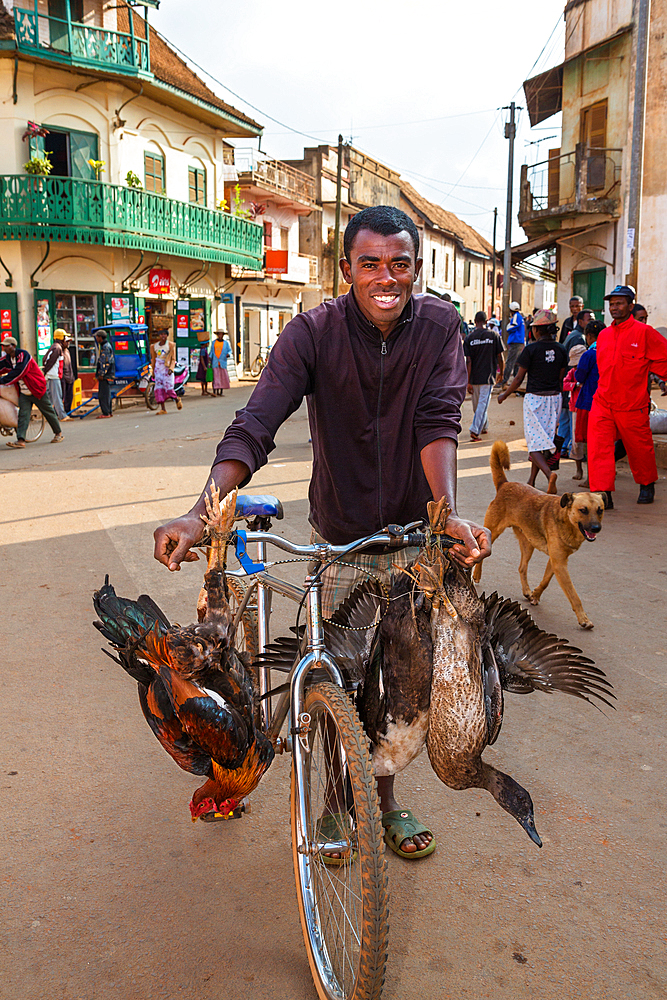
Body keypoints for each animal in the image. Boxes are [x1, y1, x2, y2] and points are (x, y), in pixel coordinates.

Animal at [474, 442, 604, 628]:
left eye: (600, 510)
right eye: (583, 510)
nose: (596, 528)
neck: (565, 520)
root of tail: (505, 484)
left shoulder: (557, 561)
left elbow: (545, 581)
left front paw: (535, 595)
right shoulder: (559, 564)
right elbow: (574, 595)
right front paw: (583, 619)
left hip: (528, 543)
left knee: (522, 567)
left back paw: (527, 591)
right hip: (493, 531)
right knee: (481, 553)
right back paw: (476, 575)